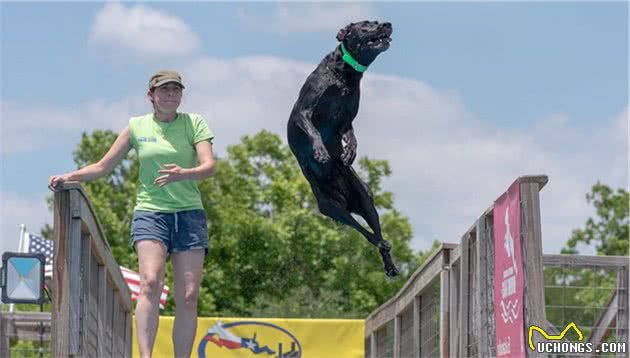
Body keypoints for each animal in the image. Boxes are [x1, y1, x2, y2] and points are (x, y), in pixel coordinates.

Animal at [288, 20, 400, 276]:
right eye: (367, 25)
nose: (387, 24)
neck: (344, 76)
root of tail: (346, 198)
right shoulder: (304, 111)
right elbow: (314, 130)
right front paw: (321, 152)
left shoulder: (347, 120)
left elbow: (350, 134)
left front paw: (350, 151)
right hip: (330, 205)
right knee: (363, 231)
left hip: (365, 198)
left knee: (374, 230)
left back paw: (389, 263)